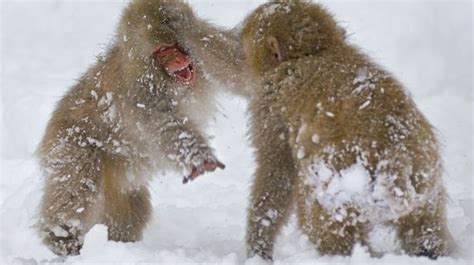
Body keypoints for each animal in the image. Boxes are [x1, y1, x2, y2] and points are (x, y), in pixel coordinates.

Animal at [36, 0, 224, 255]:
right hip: (69, 143)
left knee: (129, 209)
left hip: (119, 176)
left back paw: (116, 243)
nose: (177, 61)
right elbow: (166, 127)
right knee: (78, 182)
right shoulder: (141, 93)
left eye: (175, 45)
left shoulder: (205, 45)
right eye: (163, 50)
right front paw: (199, 157)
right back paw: (61, 235)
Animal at [241, 0, 456, 260]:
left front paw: (258, 247)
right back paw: (430, 251)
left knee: (322, 218)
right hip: (425, 178)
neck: (314, 52)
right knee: (424, 225)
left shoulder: (269, 107)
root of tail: (394, 153)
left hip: (342, 185)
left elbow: (276, 171)